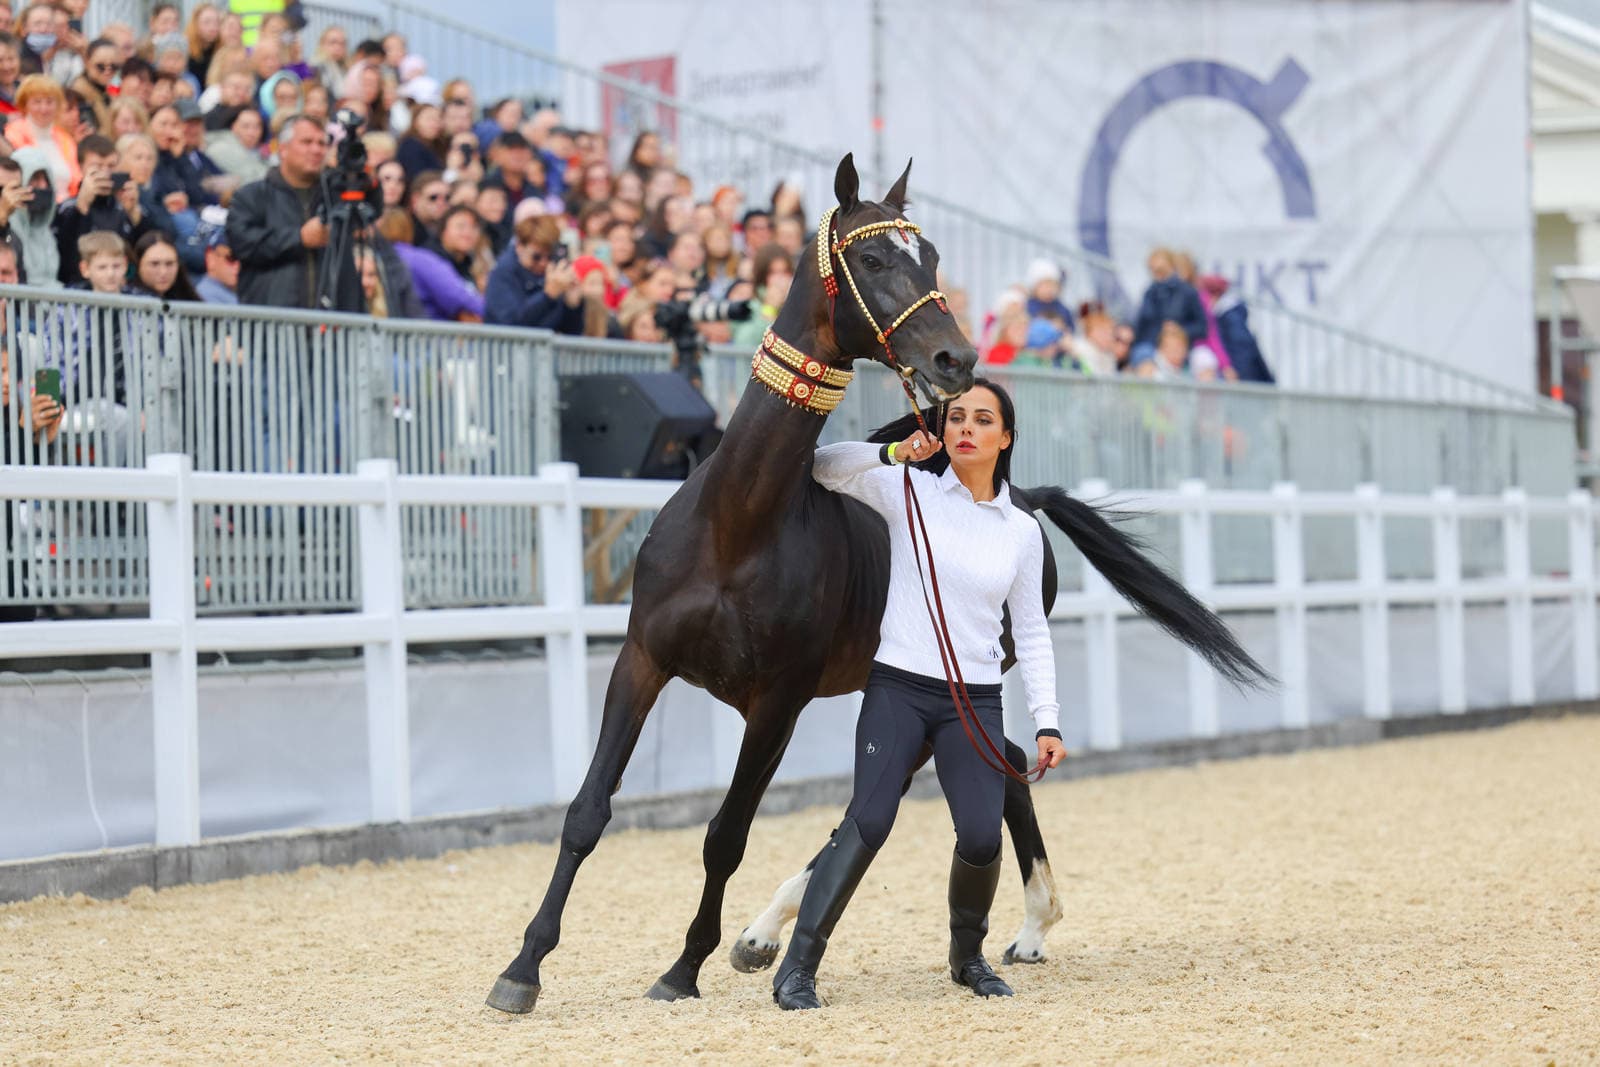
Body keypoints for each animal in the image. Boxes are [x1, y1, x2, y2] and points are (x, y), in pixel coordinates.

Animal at [487, 154, 1268, 1014]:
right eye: (870, 258)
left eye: (931, 258)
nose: (956, 361)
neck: (737, 527)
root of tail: (1024, 498)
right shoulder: (641, 661)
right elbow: (587, 810)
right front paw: (522, 967)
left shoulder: (779, 702)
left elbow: (726, 834)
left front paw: (682, 966)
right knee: (998, 769)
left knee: (968, 779)